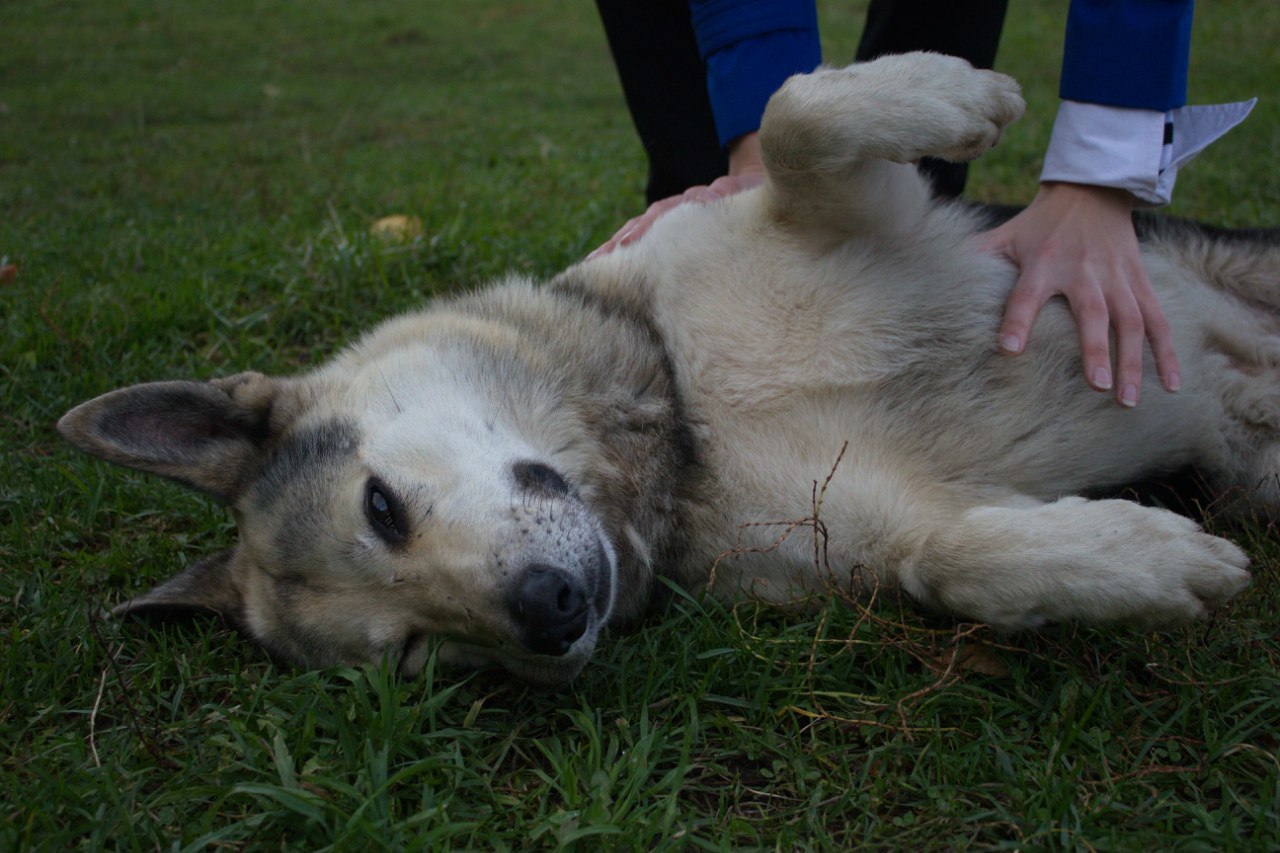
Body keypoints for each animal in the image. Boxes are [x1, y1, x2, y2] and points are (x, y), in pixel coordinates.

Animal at [57, 54, 1269, 686]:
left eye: (381, 507)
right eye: (420, 656)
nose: (550, 613)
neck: (683, 422)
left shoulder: (841, 205)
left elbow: (795, 116)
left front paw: (952, 93)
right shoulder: (892, 526)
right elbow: (959, 563)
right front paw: (1139, 562)